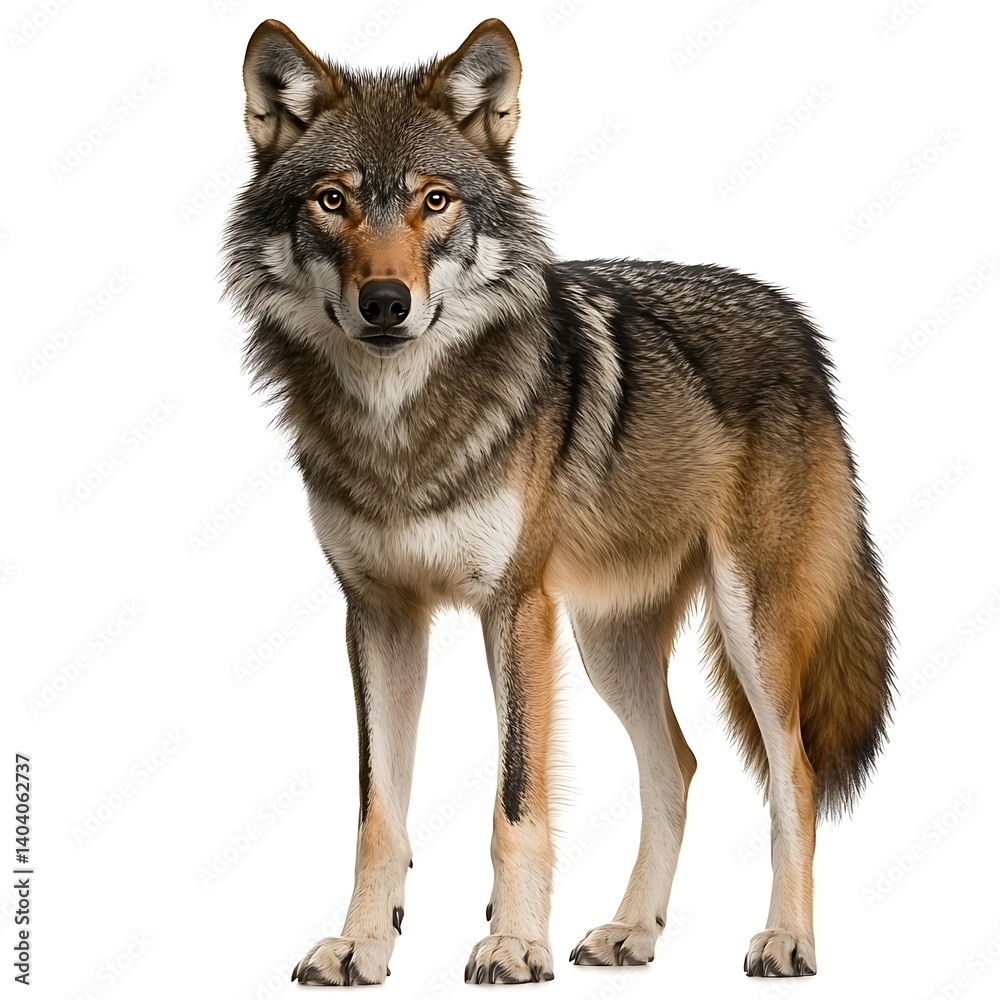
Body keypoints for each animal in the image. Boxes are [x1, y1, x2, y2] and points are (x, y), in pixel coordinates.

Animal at [223, 17, 894, 985]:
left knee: (792, 774)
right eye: (331, 200)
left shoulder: (515, 607)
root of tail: (796, 320)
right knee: (678, 766)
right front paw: (361, 943)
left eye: (434, 202)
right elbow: (378, 813)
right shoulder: (378, 615)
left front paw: (512, 943)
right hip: (607, 642)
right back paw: (632, 931)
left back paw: (787, 939)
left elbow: (516, 802)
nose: (385, 303)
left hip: (747, 625)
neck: (401, 430)